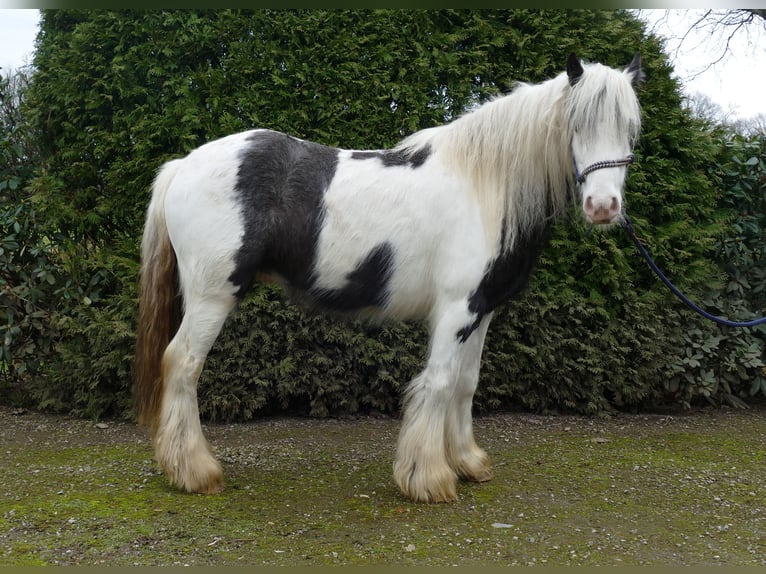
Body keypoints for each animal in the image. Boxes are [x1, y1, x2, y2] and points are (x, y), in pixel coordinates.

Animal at [135, 54, 644, 504]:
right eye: (576, 123)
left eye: (629, 128)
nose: (603, 206)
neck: (483, 186)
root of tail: (183, 165)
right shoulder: (456, 308)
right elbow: (438, 381)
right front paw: (429, 478)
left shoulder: (481, 311)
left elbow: (466, 382)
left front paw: (468, 461)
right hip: (212, 296)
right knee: (182, 364)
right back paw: (195, 471)